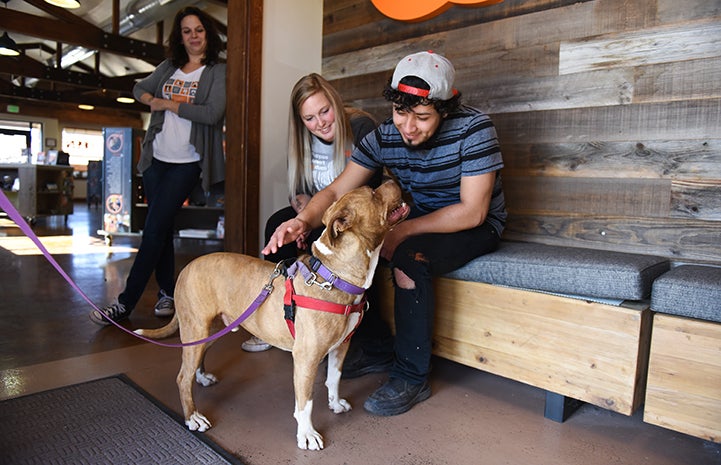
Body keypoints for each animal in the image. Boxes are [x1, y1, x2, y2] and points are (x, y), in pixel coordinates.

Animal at [134, 181, 404, 450]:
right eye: (372, 193)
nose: (393, 181)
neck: (333, 277)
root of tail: (186, 268)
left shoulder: (341, 347)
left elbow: (334, 379)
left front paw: (335, 403)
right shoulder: (305, 358)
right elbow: (305, 403)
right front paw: (307, 434)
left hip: (209, 331)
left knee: (196, 362)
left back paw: (201, 378)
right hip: (196, 328)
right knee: (182, 377)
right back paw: (193, 417)